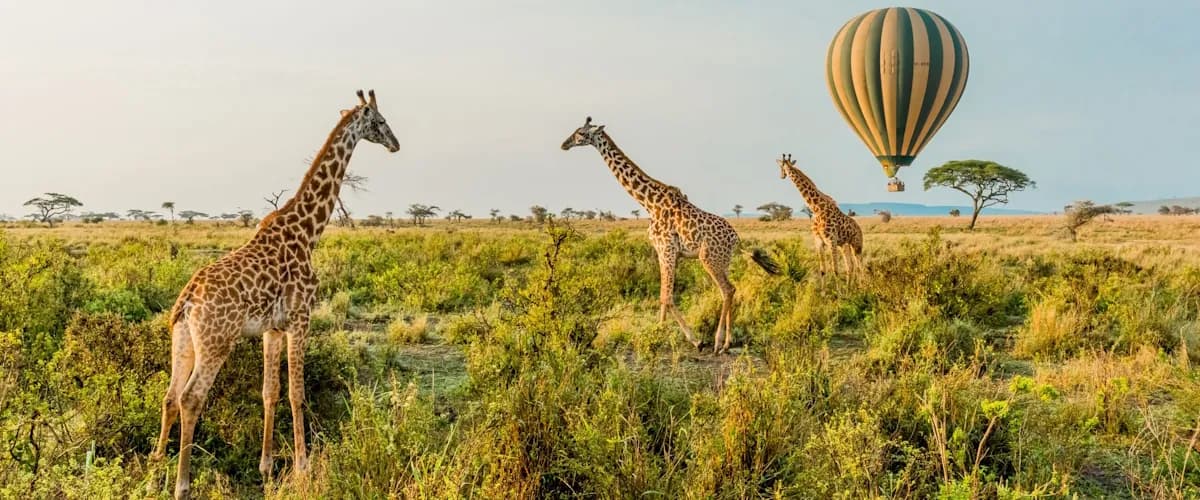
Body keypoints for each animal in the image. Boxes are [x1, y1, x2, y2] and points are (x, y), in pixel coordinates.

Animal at [150, 90, 399, 499]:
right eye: (379, 121)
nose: (396, 144)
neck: (309, 231)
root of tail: (186, 301)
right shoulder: (302, 317)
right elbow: (298, 393)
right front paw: (303, 467)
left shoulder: (272, 327)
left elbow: (270, 391)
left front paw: (266, 466)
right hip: (217, 343)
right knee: (190, 398)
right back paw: (182, 485)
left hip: (183, 339)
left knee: (170, 396)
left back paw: (156, 467)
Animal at [562, 117, 779, 354]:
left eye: (581, 134)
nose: (564, 144)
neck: (648, 203)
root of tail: (736, 239)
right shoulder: (664, 252)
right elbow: (662, 296)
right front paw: (658, 331)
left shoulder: (666, 248)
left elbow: (667, 296)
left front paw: (693, 340)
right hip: (723, 261)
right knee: (731, 289)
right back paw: (728, 343)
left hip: (708, 258)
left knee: (728, 290)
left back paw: (717, 342)